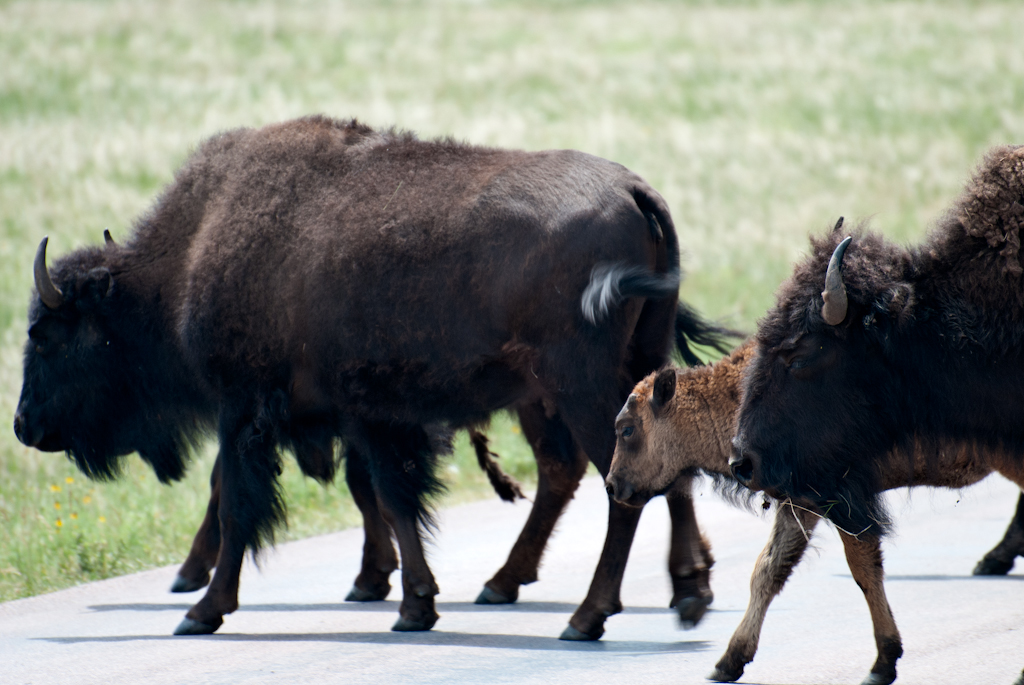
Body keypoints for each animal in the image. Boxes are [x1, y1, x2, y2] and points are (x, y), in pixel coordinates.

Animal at [9, 116, 729, 634]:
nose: (23, 425)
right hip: (628, 376)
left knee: (618, 489)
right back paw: (684, 590)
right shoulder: (370, 415)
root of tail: (635, 191)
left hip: (576, 389)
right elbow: (392, 497)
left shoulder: (247, 412)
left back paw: (586, 616)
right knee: (652, 473)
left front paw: (202, 609)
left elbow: (240, 501)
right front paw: (413, 605)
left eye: (47, 336)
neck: (191, 255)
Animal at [602, 341, 1024, 683]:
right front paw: (728, 662)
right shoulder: (800, 505)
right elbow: (768, 571)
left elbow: (863, 570)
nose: (611, 485)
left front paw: (882, 664)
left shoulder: (838, 501)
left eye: (627, 428)